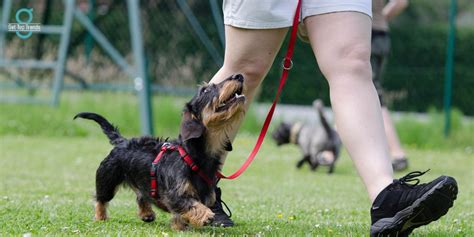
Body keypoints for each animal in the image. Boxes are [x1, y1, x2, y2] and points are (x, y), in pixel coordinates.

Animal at [75, 73, 244, 230]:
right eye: (205, 90)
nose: (239, 76)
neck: (192, 155)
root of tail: (122, 141)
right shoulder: (174, 195)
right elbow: (190, 205)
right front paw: (205, 215)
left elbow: (182, 213)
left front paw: (180, 226)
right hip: (107, 179)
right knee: (100, 199)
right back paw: (100, 217)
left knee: (141, 196)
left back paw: (147, 214)